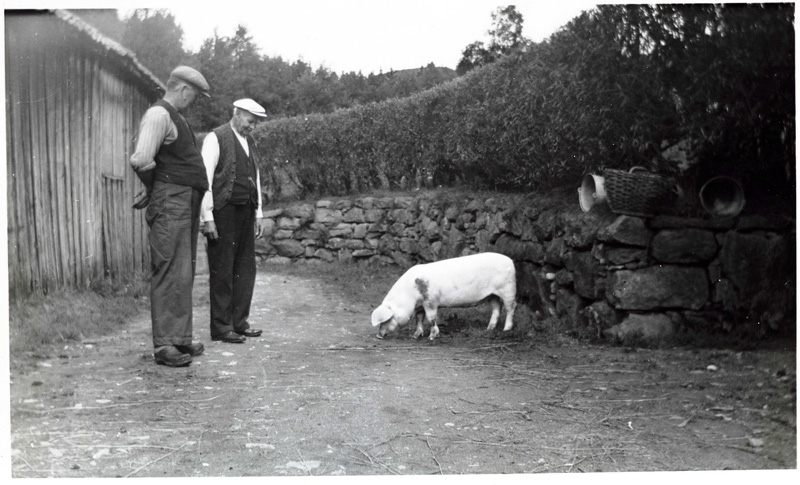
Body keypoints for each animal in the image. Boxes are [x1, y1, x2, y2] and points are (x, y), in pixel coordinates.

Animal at [372, 251, 516, 338]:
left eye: (388, 319)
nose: (378, 336)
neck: (409, 294)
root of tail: (510, 261)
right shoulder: (420, 305)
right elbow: (419, 318)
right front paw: (415, 336)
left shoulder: (430, 301)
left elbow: (431, 318)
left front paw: (431, 337)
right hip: (492, 294)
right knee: (497, 309)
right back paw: (489, 329)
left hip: (508, 289)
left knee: (510, 308)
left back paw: (506, 329)